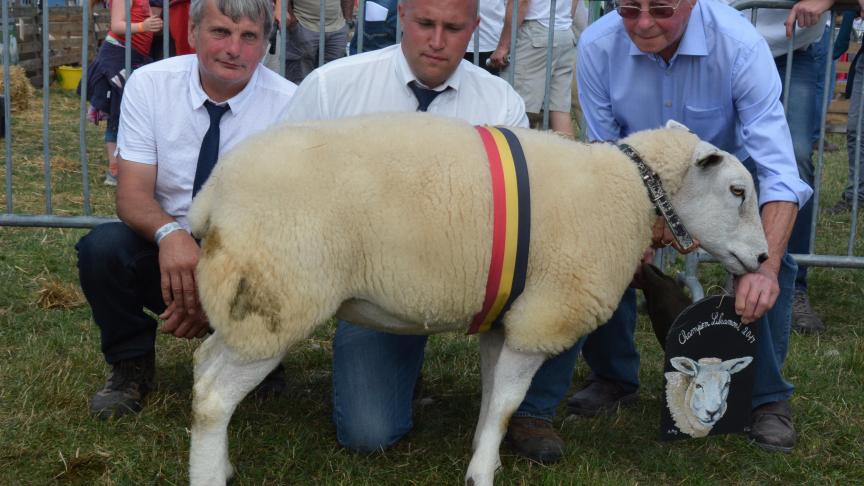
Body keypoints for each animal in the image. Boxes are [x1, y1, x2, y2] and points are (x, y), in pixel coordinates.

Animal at [186, 115, 768, 486]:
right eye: (737, 191)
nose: (764, 258)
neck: (630, 190)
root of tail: (212, 194)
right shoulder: (542, 316)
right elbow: (508, 404)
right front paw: (483, 474)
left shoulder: (505, 317)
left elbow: (494, 401)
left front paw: (484, 458)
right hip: (277, 294)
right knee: (214, 397)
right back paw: (209, 474)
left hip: (244, 297)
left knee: (204, 365)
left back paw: (222, 461)